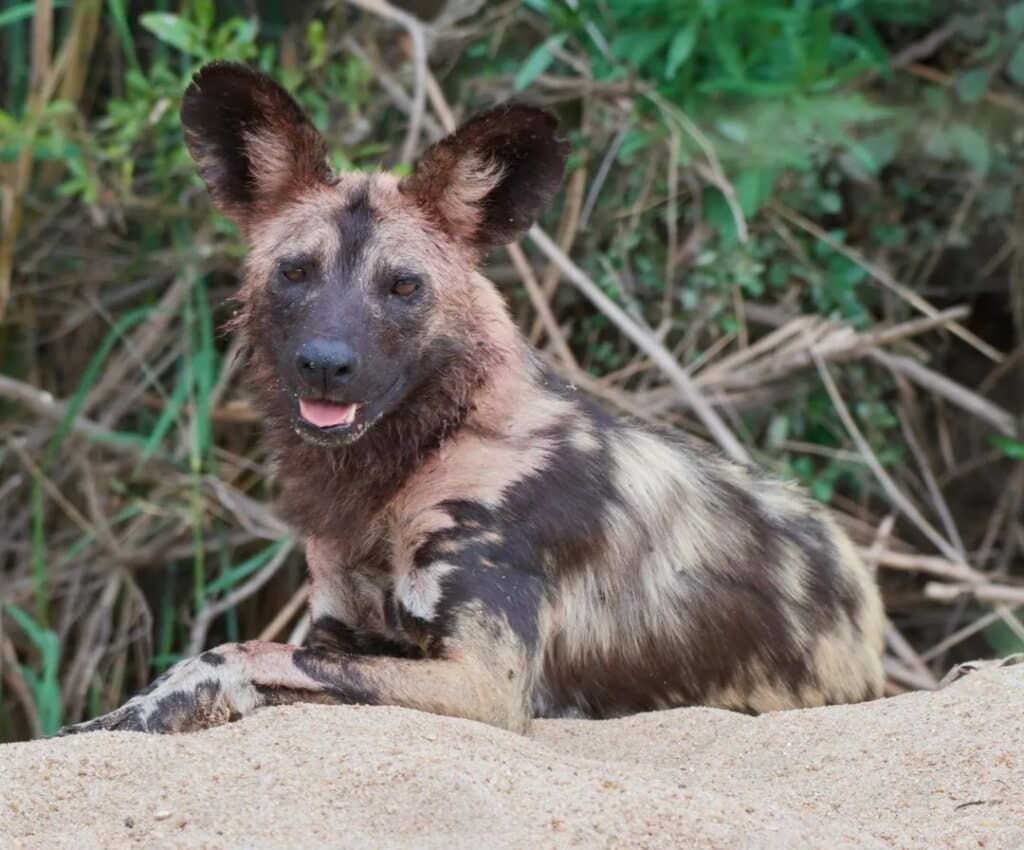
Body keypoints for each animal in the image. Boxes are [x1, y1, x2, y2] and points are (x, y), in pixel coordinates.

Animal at [61, 63, 888, 737]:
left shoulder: (485, 683)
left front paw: (150, 708)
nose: (325, 365)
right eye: (295, 272)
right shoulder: (339, 629)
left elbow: (235, 652)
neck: (404, 463)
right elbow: (266, 658)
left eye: (404, 286)